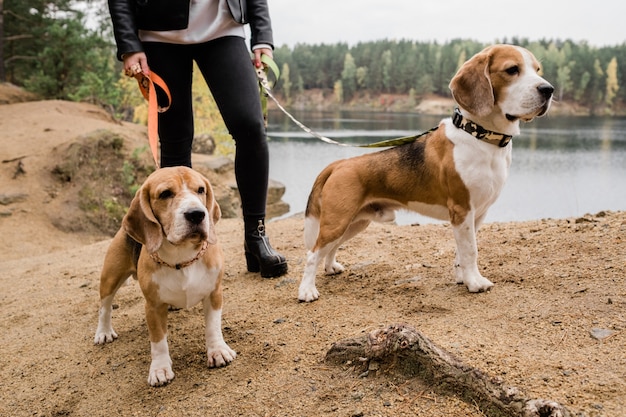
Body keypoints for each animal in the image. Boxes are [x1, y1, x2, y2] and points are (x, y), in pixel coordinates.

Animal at [94, 165, 235, 384]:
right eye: (165, 194)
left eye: (201, 190)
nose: (197, 214)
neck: (181, 257)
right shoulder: (153, 306)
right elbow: (158, 341)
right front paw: (159, 369)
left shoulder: (214, 293)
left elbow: (213, 326)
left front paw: (218, 351)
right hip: (110, 278)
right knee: (105, 307)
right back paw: (104, 332)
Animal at [298, 44, 552, 300]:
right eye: (512, 69)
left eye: (538, 70)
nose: (548, 90)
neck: (480, 136)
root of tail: (339, 164)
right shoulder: (462, 210)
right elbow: (471, 251)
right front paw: (475, 283)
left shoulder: (476, 214)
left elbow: (462, 252)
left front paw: (463, 278)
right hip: (337, 221)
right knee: (313, 253)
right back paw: (307, 291)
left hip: (355, 222)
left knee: (331, 248)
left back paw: (330, 267)